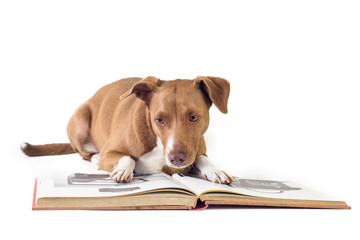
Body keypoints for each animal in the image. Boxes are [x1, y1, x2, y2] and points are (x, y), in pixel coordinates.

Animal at [21, 77, 233, 184]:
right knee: (83, 153)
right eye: (159, 120)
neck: (157, 142)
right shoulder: (111, 152)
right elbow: (127, 158)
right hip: (80, 120)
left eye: (194, 117)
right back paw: (95, 156)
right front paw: (123, 169)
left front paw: (216, 170)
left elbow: (201, 157)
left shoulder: (195, 150)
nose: (176, 159)